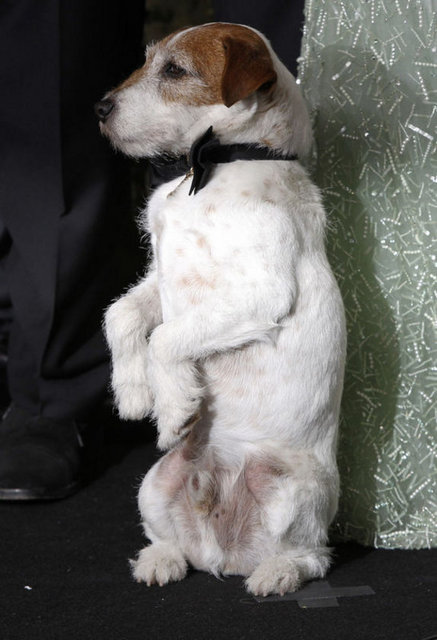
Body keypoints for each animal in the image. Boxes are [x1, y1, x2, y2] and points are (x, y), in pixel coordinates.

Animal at [97, 22, 346, 596]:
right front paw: (133, 394)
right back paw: (160, 559)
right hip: (153, 482)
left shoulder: (263, 291)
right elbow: (120, 315)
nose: (100, 108)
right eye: (149, 60)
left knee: (314, 554)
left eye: (175, 70)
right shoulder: (158, 281)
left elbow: (167, 338)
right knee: (172, 540)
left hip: (295, 489)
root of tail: (225, 554)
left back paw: (276, 573)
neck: (217, 164)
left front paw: (173, 409)